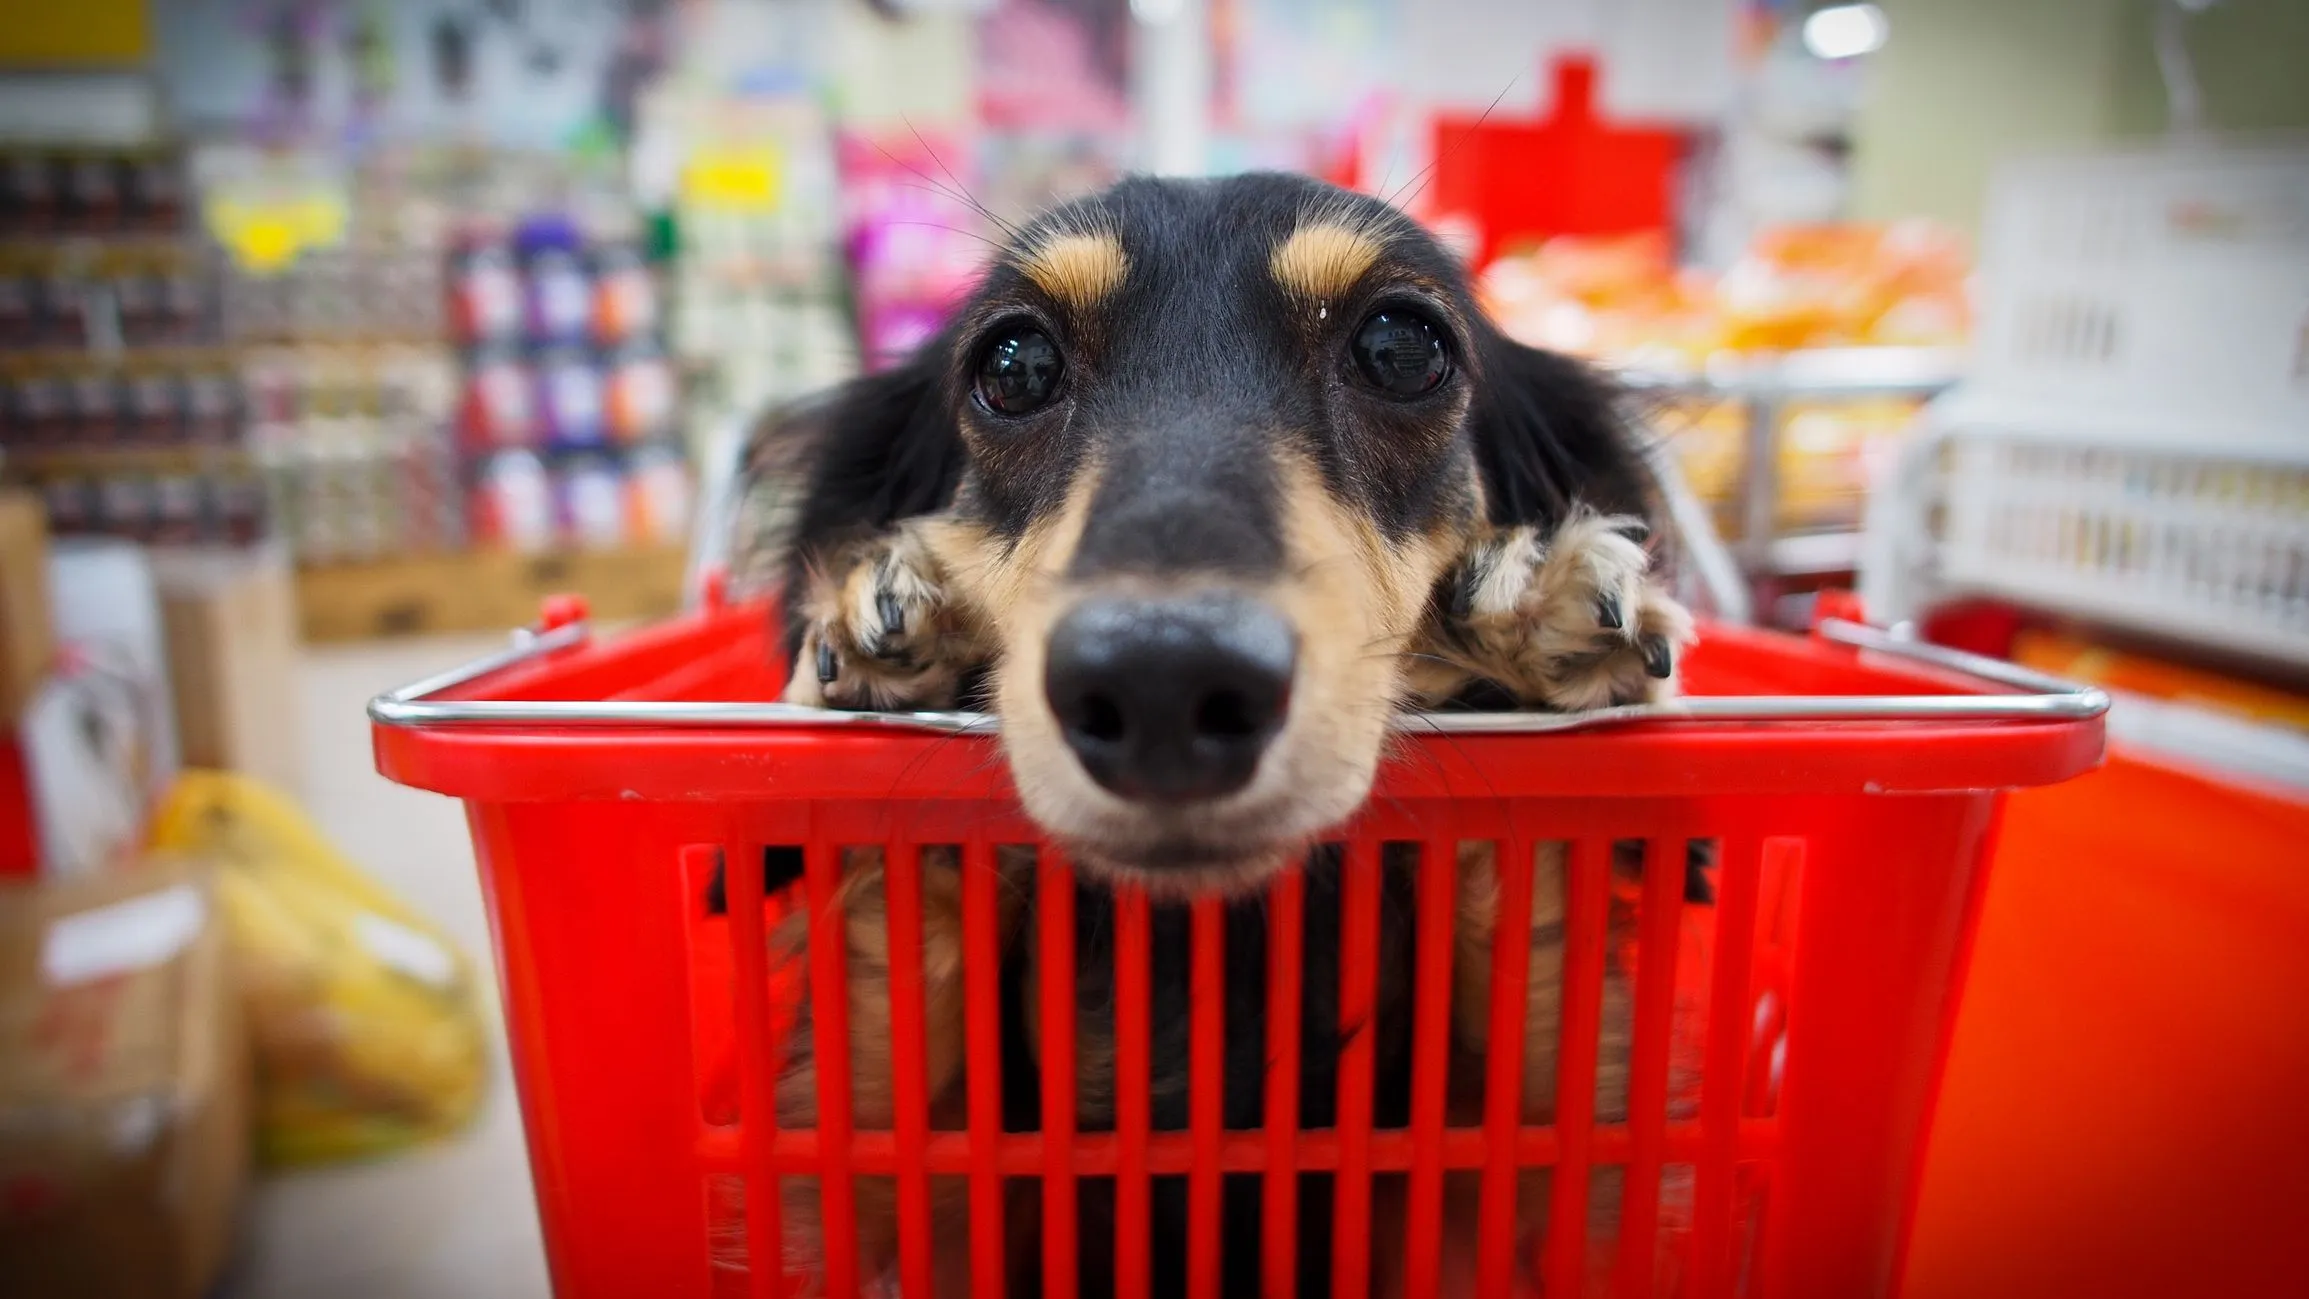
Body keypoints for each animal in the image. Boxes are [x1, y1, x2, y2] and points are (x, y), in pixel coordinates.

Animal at [738, 175, 1699, 1299]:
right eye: (1013, 367)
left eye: (1400, 347)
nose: (1162, 683)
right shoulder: (904, 1188)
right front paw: (881, 610)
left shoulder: (1518, 1190)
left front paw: (1525, 596)